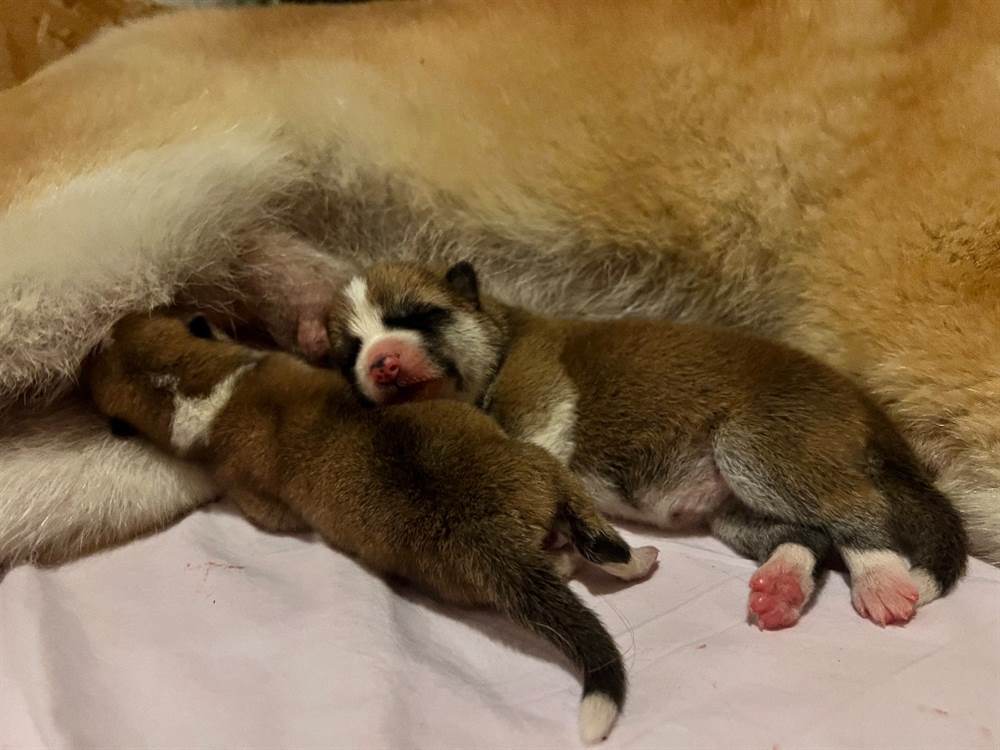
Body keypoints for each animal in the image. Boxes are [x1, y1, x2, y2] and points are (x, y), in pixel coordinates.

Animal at [84, 312, 664, 748]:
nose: (95, 340)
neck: (193, 382)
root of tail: (487, 529)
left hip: (542, 471)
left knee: (599, 547)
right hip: (537, 486)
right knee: (592, 550)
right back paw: (621, 559)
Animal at [330, 264, 968, 636]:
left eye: (418, 316)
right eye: (350, 350)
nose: (381, 362)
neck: (501, 334)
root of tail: (869, 410)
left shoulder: (537, 396)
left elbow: (537, 449)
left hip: (762, 447)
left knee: (857, 513)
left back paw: (882, 581)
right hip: (734, 510)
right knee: (809, 534)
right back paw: (783, 587)